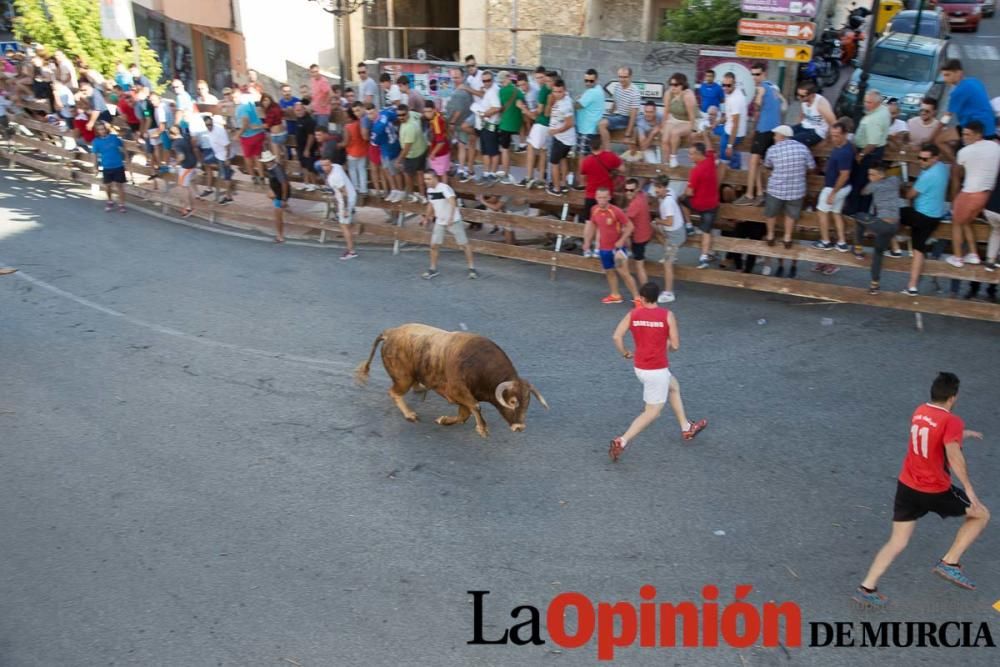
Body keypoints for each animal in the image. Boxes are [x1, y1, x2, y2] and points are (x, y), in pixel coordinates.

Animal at [356, 324, 552, 438]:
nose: (520, 427)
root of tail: (390, 333)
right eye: (512, 402)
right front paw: (482, 429)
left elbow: (464, 414)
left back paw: (419, 388)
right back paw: (410, 414)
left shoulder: (463, 398)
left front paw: (444, 421)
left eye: (528, 402)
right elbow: (475, 407)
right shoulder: (457, 391)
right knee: (394, 392)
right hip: (403, 377)